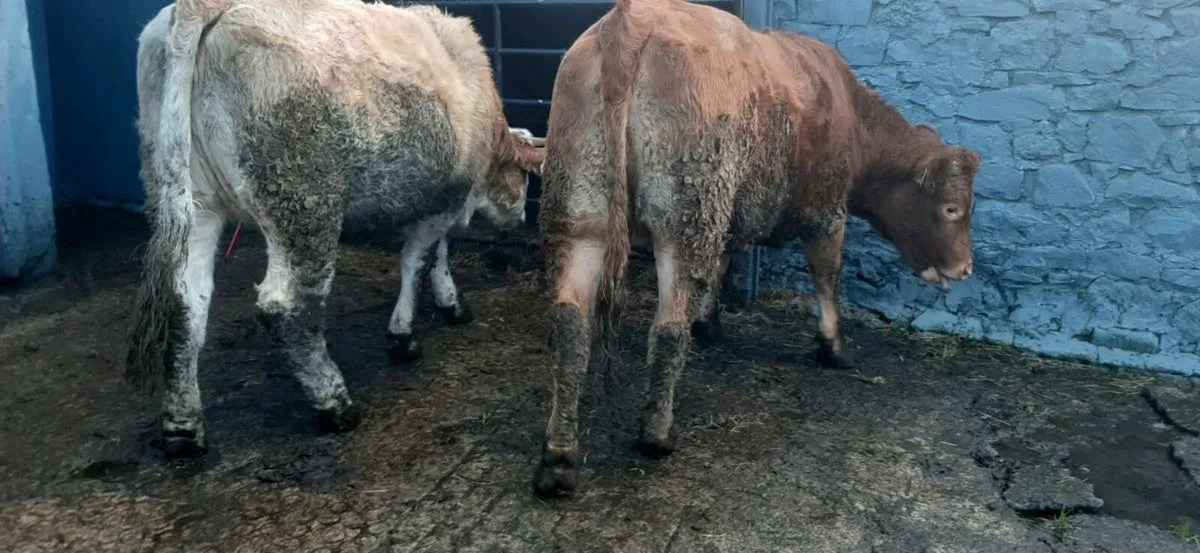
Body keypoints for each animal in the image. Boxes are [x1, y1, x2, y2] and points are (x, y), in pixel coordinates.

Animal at [125, 0, 545, 458]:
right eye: (524, 180)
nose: (522, 218)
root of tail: (203, 8)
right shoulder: (445, 198)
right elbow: (418, 259)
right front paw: (406, 333)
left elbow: (438, 252)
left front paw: (448, 303)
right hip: (303, 204)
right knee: (286, 306)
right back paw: (335, 403)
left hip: (191, 202)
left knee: (185, 302)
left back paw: (182, 427)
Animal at [534, 0, 981, 496]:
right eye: (952, 208)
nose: (965, 268)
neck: (849, 112)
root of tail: (632, 20)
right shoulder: (827, 212)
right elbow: (827, 277)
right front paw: (833, 347)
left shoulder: (731, 214)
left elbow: (722, 265)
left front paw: (710, 322)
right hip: (686, 215)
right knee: (667, 329)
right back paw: (657, 434)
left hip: (582, 210)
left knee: (571, 324)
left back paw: (558, 456)